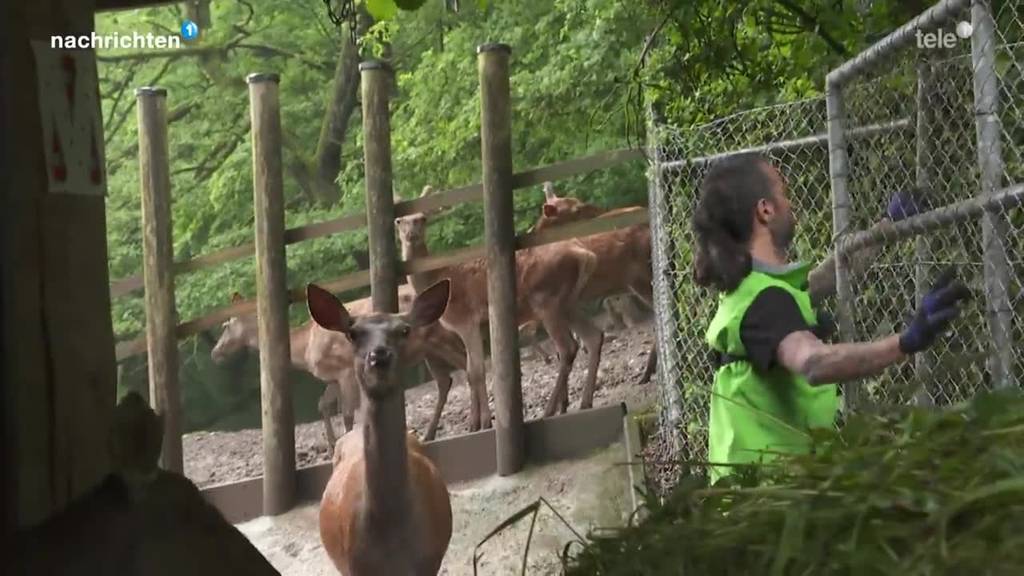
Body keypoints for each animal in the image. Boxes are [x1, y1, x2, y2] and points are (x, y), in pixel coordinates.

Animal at [211, 284, 468, 446]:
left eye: (226, 325)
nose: (215, 352)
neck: (304, 349)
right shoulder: (333, 376)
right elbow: (322, 404)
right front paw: (333, 445)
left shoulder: (345, 371)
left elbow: (346, 413)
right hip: (429, 351)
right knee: (445, 381)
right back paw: (429, 434)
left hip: (443, 339)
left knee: (469, 363)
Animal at [395, 183, 606, 426]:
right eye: (399, 220)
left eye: (422, 218)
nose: (411, 235)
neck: (436, 277)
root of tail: (587, 255)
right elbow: (472, 370)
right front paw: (476, 422)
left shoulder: (465, 320)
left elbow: (475, 371)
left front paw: (482, 422)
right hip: (568, 302)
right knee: (593, 336)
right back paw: (584, 401)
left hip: (547, 300)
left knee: (568, 347)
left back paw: (549, 410)